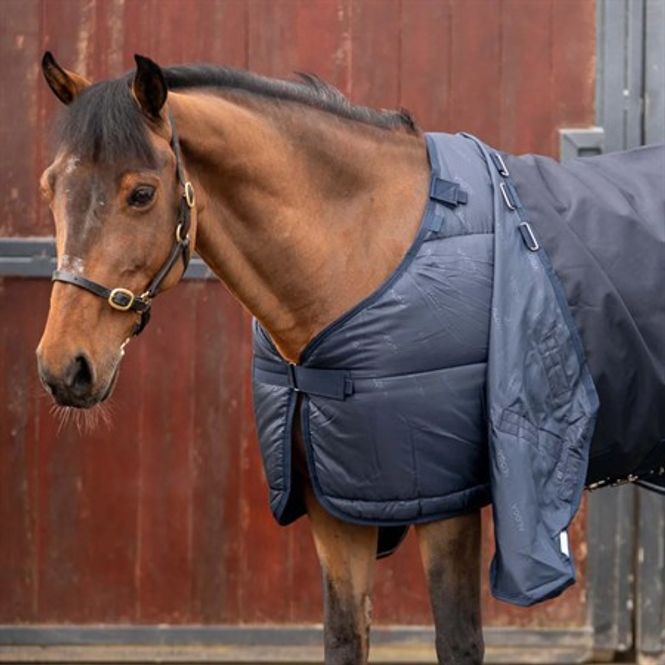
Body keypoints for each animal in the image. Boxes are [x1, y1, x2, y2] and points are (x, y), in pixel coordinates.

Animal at [37, 53, 483, 664]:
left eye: (142, 194)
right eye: (50, 186)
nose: (64, 366)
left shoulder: (448, 501)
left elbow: (458, 640)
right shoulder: (333, 499)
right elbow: (345, 634)